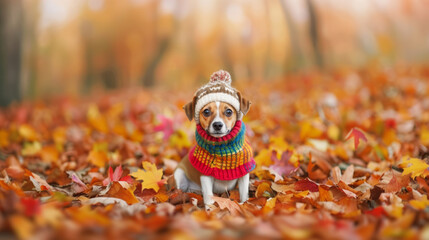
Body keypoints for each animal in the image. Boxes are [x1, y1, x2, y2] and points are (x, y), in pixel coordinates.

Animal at [174, 70, 254, 206]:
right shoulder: (206, 176)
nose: (217, 125)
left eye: (229, 111)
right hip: (179, 175)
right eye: (206, 112)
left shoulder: (243, 173)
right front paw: (210, 209)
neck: (223, 149)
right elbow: (208, 196)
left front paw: (245, 205)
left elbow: (244, 194)